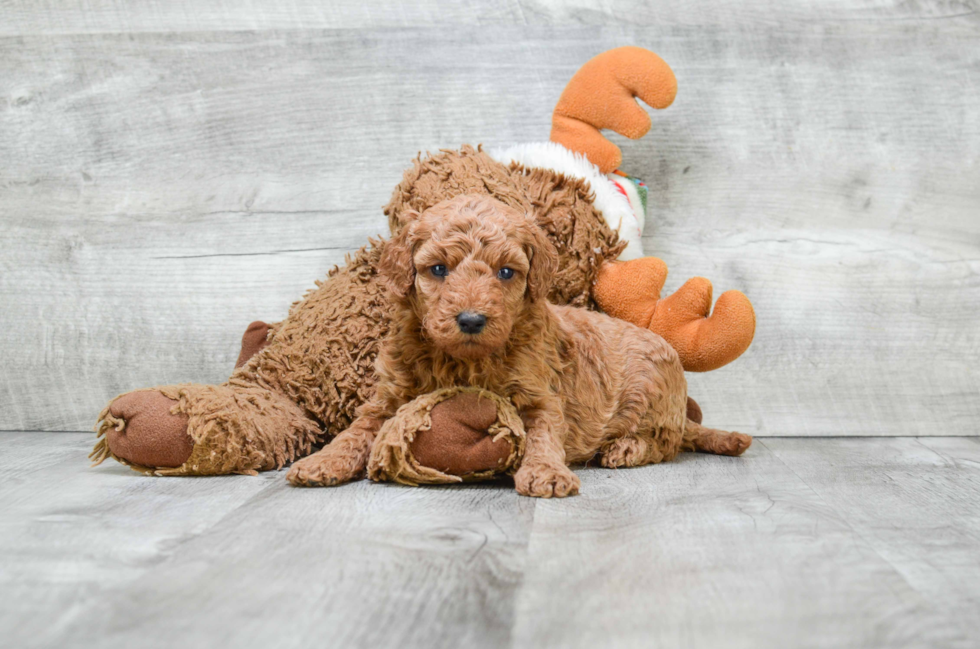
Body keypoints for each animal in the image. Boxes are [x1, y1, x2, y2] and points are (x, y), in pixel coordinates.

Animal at [286, 194, 752, 496]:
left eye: (506, 272)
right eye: (438, 269)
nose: (471, 319)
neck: (464, 360)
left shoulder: (541, 395)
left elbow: (544, 435)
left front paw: (546, 473)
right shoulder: (388, 397)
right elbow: (357, 431)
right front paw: (321, 461)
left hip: (652, 385)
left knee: (665, 442)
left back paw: (625, 447)